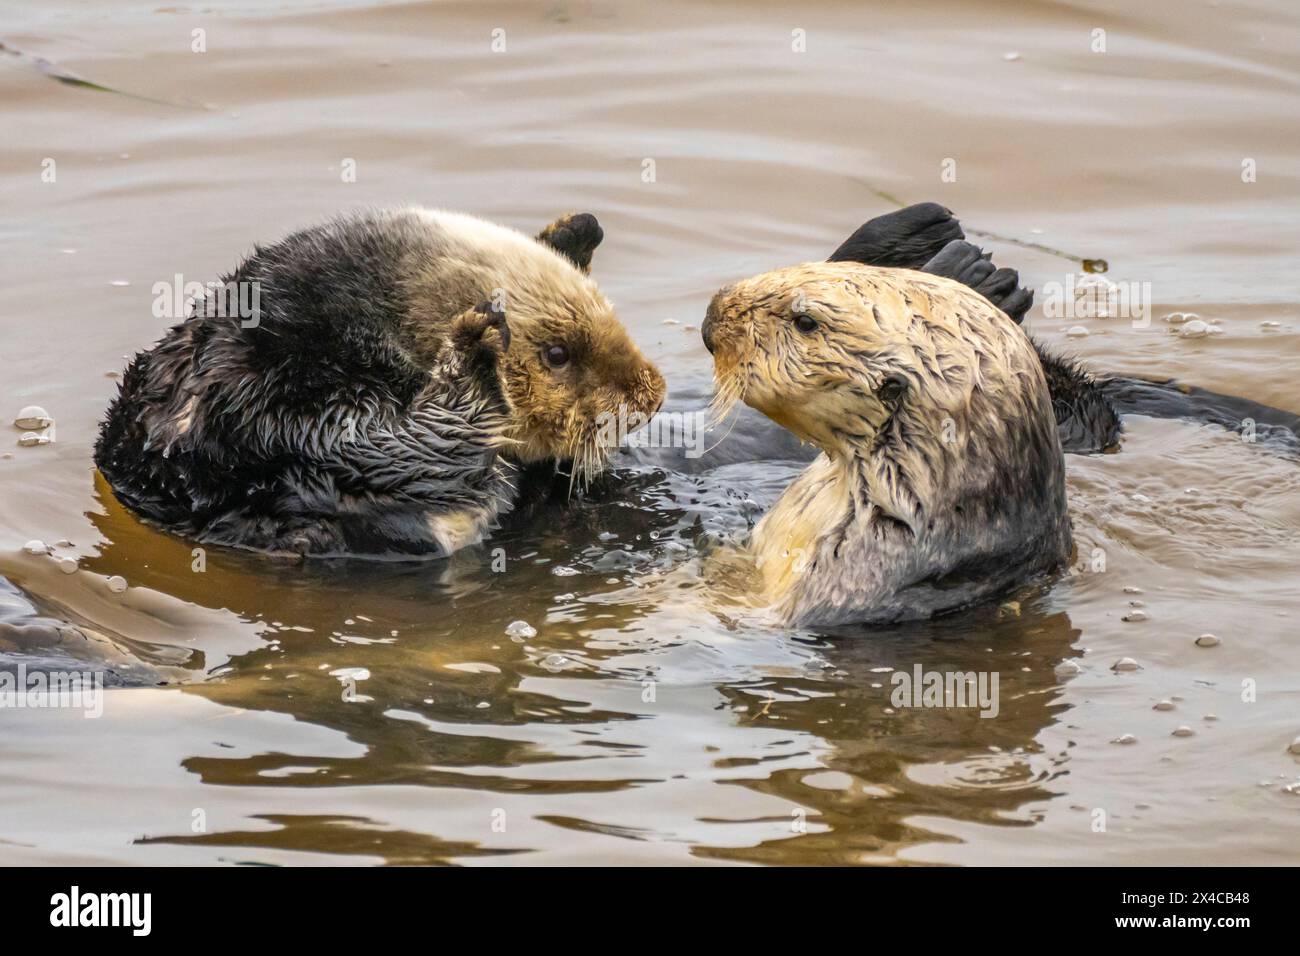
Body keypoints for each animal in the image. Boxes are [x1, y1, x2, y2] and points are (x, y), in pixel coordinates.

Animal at [94, 205, 665, 556]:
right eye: (557, 354)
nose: (650, 395)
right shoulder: (276, 402)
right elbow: (392, 449)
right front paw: (476, 344)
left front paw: (574, 230)